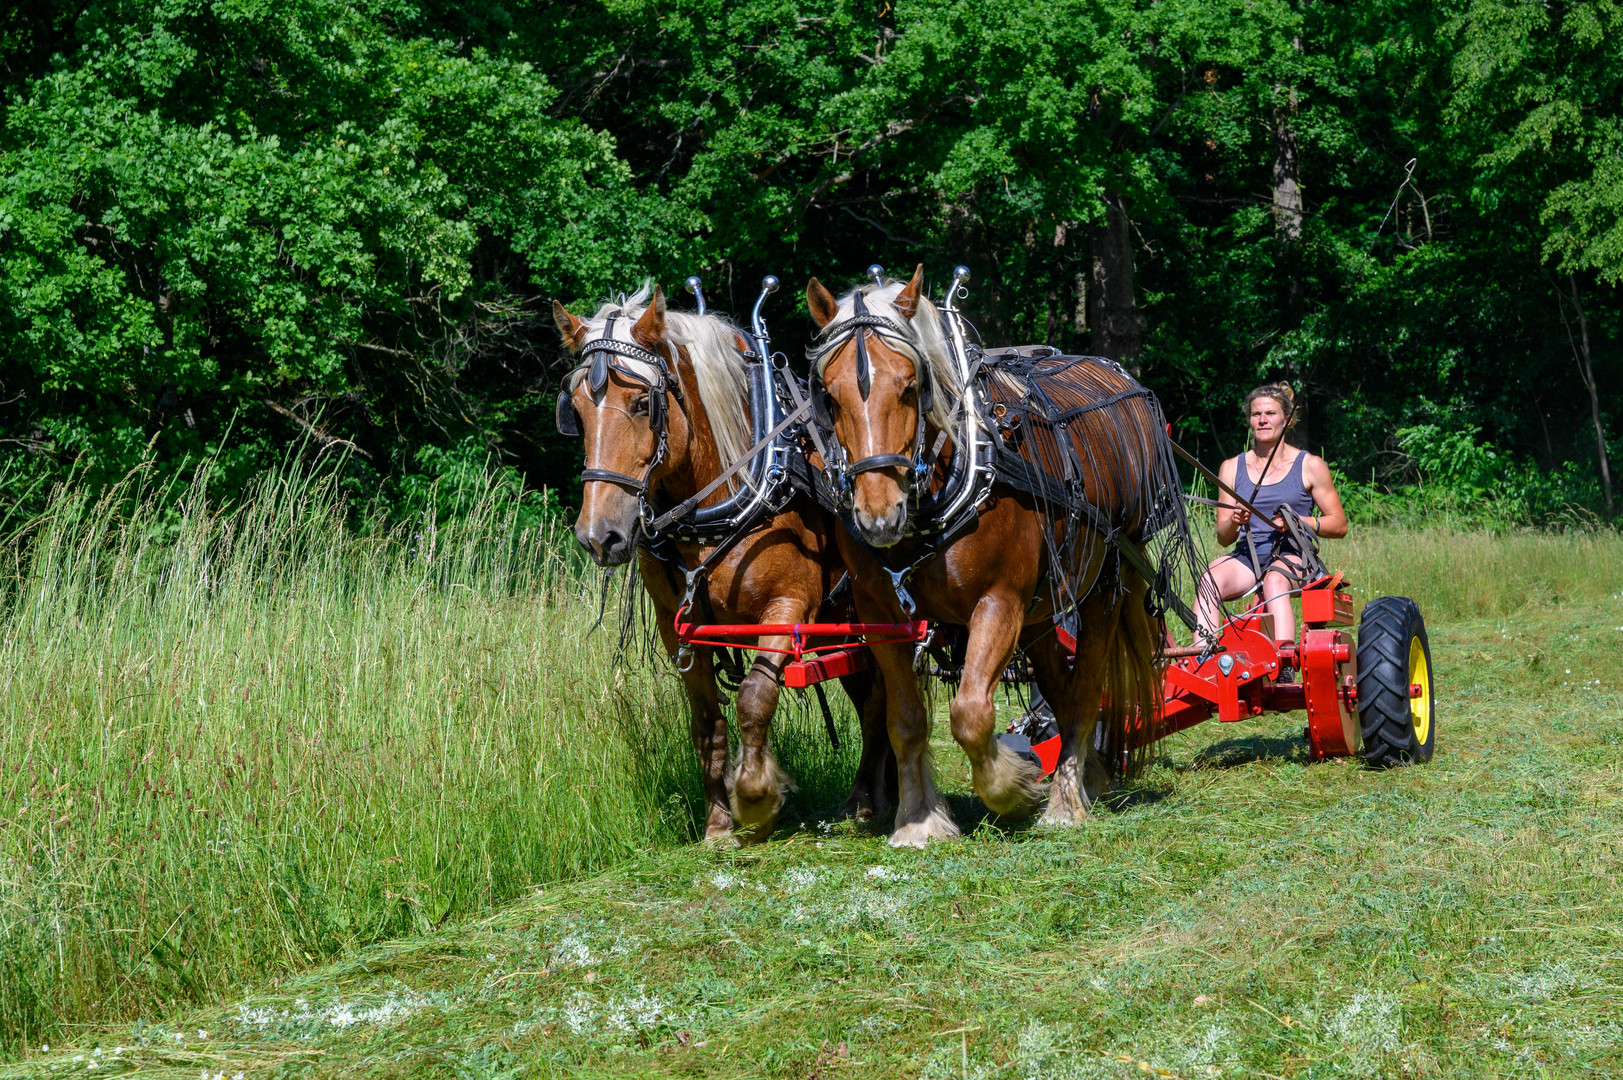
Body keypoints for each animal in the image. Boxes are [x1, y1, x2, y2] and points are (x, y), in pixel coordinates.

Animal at [555, 284, 889, 844]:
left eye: (643, 403)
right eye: (575, 412)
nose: (599, 535)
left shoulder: (788, 608)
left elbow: (754, 698)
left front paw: (755, 799)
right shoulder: (679, 629)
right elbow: (706, 723)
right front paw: (717, 824)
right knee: (871, 696)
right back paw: (868, 797)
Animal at [808, 267, 1181, 844]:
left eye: (911, 385)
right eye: (828, 394)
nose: (878, 515)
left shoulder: (999, 601)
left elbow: (970, 713)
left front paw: (1014, 789)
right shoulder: (880, 614)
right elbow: (904, 720)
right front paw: (920, 821)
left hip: (1104, 581)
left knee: (1084, 688)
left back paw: (1065, 801)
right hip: (1043, 609)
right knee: (1059, 684)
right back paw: (1089, 778)